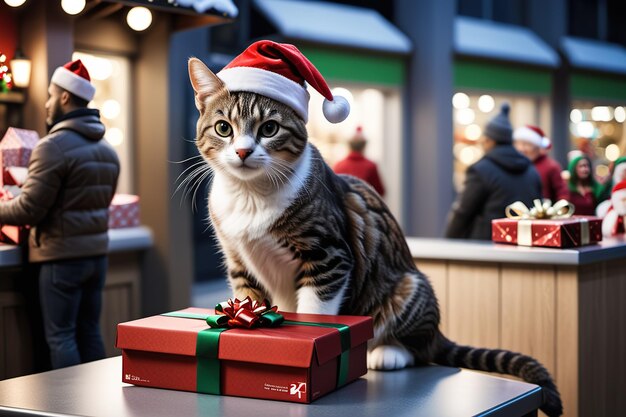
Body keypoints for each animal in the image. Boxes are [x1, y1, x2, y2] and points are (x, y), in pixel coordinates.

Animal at [185, 56, 560, 416]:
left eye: (269, 128)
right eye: (223, 128)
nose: (243, 151)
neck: (250, 195)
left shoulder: (329, 254)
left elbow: (316, 307)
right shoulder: (238, 260)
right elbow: (248, 298)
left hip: (410, 287)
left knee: (421, 348)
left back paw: (388, 352)